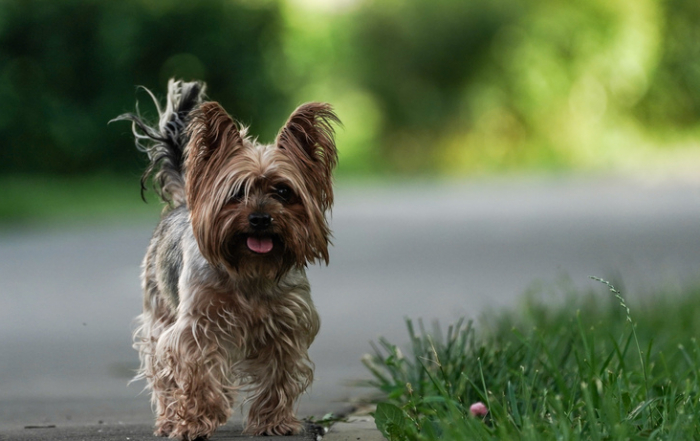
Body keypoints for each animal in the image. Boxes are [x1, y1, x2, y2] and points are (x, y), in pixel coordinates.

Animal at [114, 79, 340, 436]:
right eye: (237, 193)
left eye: (283, 192)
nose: (260, 218)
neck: (250, 269)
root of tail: (184, 202)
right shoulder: (197, 328)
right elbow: (195, 372)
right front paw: (194, 422)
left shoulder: (287, 325)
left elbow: (280, 374)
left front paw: (274, 421)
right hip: (158, 311)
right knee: (160, 370)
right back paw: (168, 419)